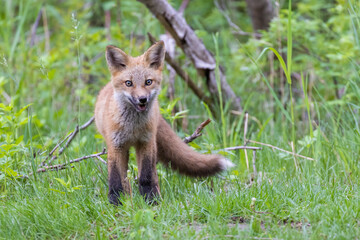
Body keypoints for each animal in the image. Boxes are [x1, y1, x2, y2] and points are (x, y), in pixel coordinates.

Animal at [93, 40, 233, 204]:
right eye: (128, 83)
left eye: (148, 82)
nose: (142, 99)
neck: (133, 128)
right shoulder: (115, 145)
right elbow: (115, 179)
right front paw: (116, 203)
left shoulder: (146, 142)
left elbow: (146, 177)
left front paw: (151, 201)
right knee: (125, 178)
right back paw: (128, 198)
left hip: (151, 147)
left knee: (152, 175)